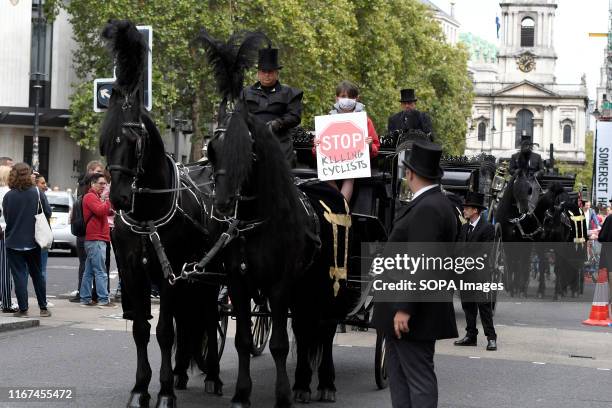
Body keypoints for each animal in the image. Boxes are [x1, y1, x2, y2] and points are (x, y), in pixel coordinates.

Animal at [99, 20, 224, 406]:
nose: (119, 197)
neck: (147, 214)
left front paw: (164, 391)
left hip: (209, 275)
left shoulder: (170, 272)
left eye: (133, 139)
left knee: (209, 314)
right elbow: (142, 329)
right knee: (191, 318)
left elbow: (165, 331)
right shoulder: (134, 273)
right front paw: (141, 387)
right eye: (104, 140)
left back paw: (212, 376)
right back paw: (183, 371)